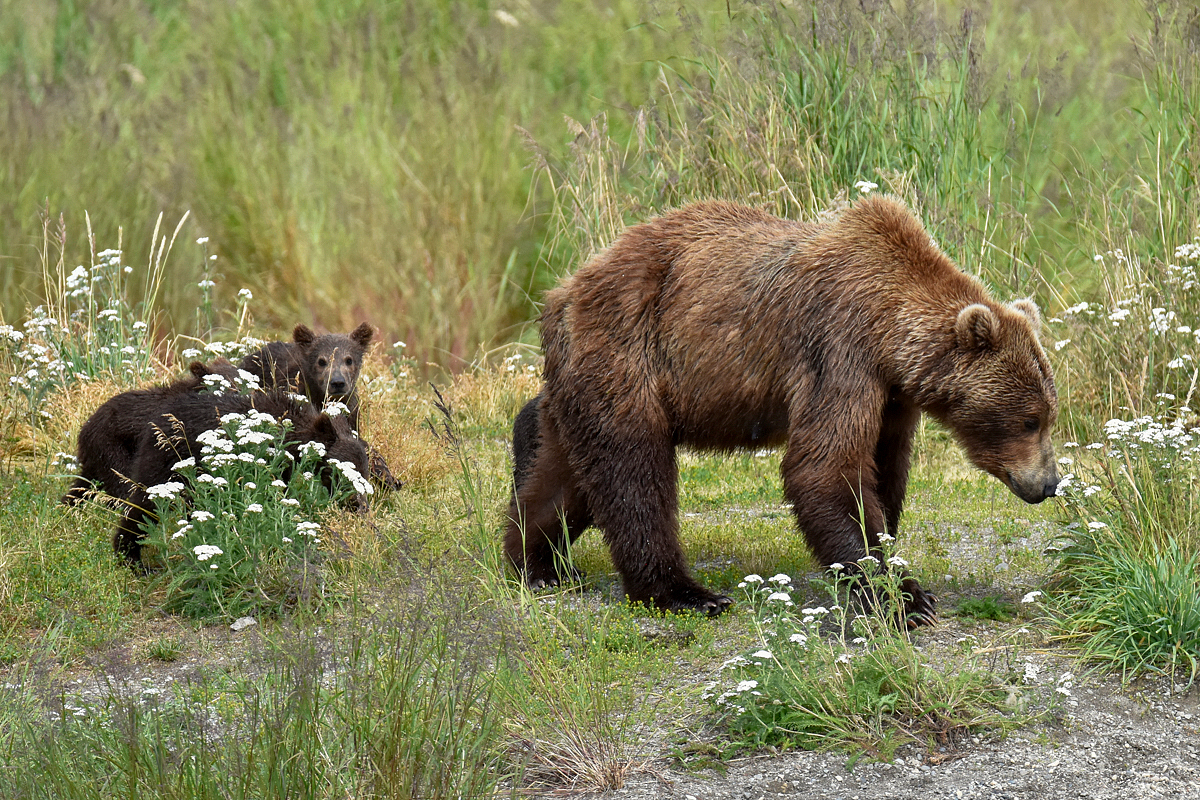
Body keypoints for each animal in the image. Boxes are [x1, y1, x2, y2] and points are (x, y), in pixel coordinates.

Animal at [506, 194, 1060, 623]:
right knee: (633, 471)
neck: (891, 335)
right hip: (631, 349)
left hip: (588, 376)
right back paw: (686, 594)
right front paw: (904, 598)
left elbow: (884, 467)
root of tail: (562, 292)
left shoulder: (893, 395)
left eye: (1048, 416)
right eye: (1029, 420)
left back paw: (537, 563)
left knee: (567, 475)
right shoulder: (839, 351)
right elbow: (825, 468)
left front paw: (892, 556)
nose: (1050, 483)